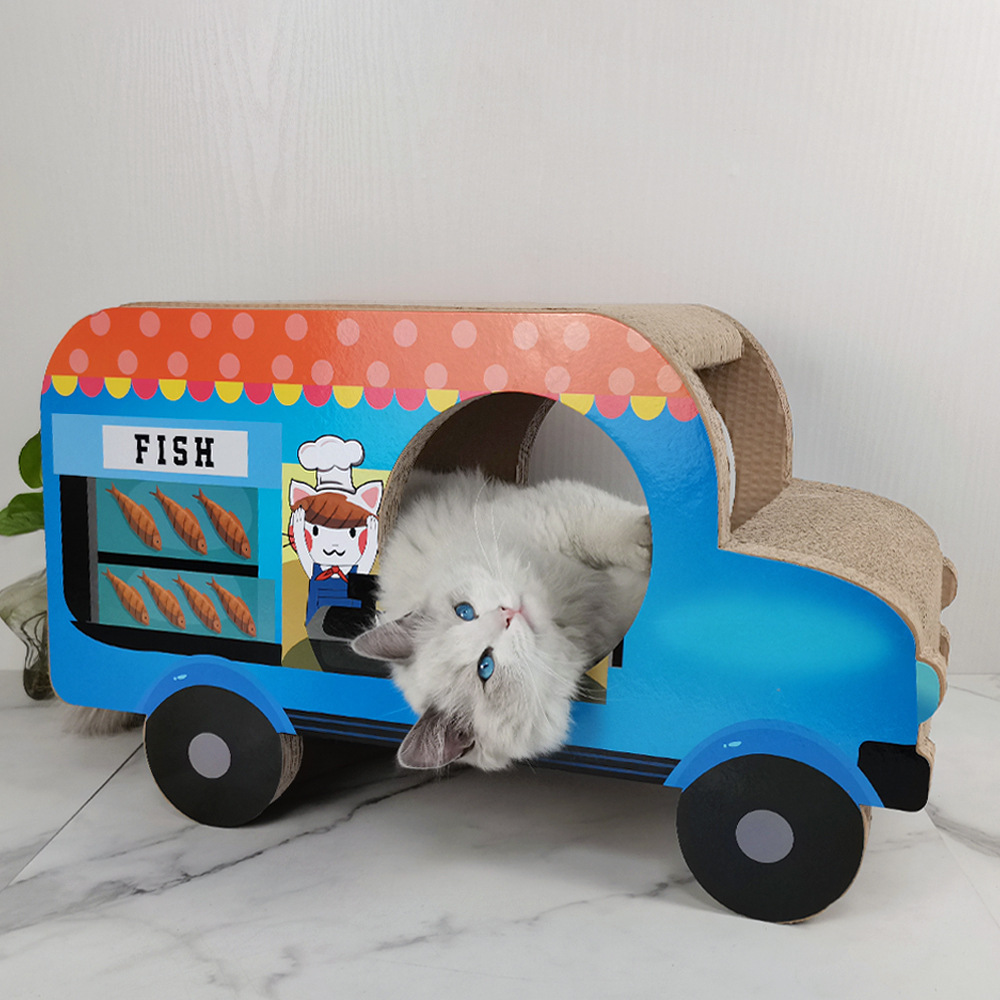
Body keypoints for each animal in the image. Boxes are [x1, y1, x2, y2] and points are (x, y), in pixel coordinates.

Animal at [351, 469, 652, 772]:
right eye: (486, 667)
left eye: (464, 612)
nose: (508, 614)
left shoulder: (553, 514)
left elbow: (609, 528)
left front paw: (649, 536)